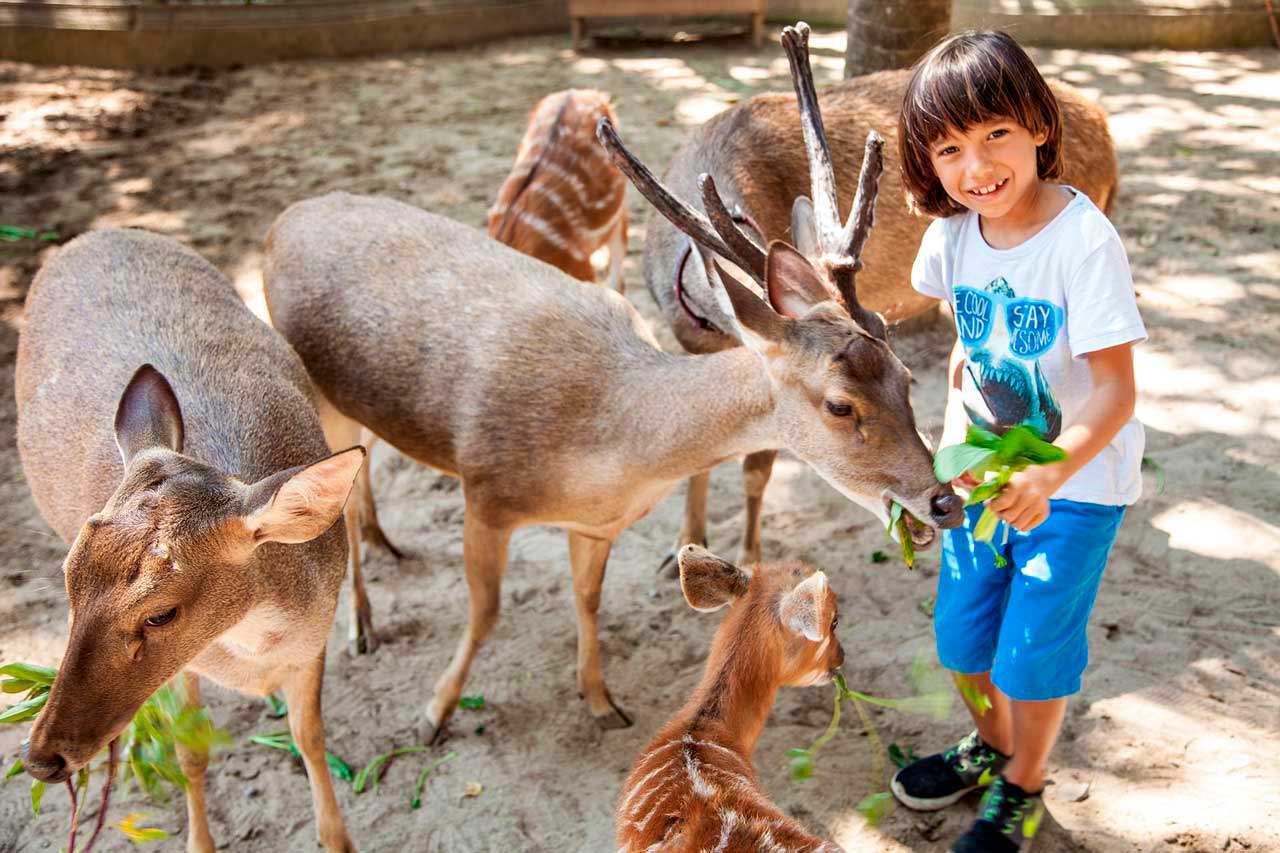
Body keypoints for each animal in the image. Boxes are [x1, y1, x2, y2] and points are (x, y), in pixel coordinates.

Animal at [15, 227, 366, 850]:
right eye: (68, 578)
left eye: (161, 613)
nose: (41, 759)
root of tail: (93, 233)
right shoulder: (189, 670)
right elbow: (190, 755)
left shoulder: (312, 643)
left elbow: (312, 739)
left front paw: (339, 838)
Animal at [262, 24, 962, 737]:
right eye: (839, 405)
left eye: (906, 374)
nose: (944, 502)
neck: (608, 446)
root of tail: (284, 219)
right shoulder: (484, 493)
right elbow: (486, 613)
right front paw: (434, 713)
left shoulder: (597, 525)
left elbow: (589, 598)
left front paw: (601, 700)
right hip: (317, 394)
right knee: (337, 502)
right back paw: (362, 624)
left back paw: (385, 544)